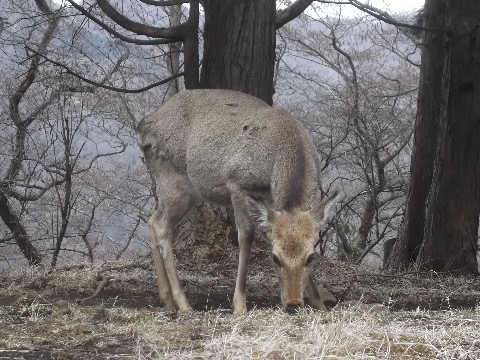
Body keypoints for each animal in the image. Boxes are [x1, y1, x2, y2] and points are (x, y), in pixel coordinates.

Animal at [137, 89, 340, 316]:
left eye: (311, 257)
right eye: (274, 258)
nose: (293, 305)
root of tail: (144, 125)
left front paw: (320, 304)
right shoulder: (236, 184)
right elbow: (246, 237)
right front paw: (239, 305)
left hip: (187, 192)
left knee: (153, 220)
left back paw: (167, 299)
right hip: (173, 181)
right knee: (162, 226)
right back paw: (183, 303)